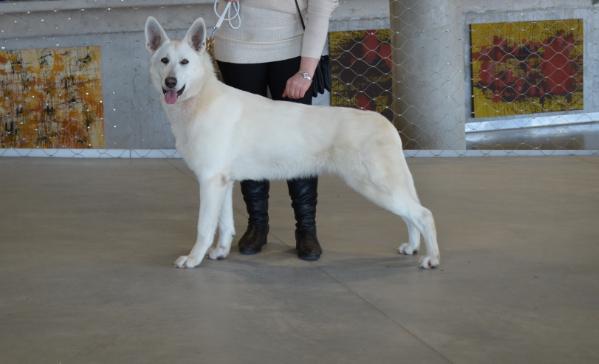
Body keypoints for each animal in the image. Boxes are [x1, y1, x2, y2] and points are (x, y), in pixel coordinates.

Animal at [145, 17, 440, 270]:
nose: (170, 82)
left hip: (375, 185)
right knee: (410, 216)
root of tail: (386, 123)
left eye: (184, 62)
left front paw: (193, 259)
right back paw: (412, 247)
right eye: (164, 60)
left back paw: (431, 259)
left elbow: (204, 227)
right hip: (383, 187)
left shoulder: (209, 181)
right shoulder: (222, 182)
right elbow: (225, 224)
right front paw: (220, 252)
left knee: (423, 214)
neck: (200, 99)